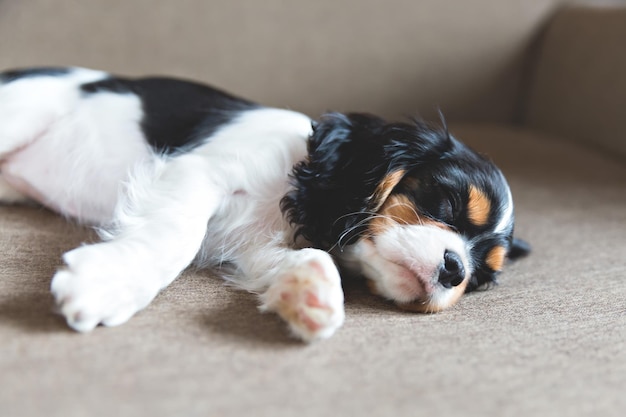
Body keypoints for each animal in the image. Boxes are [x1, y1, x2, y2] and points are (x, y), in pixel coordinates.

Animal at [0, 66, 528, 340]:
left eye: (481, 279)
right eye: (446, 202)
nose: (456, 270)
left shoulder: (252, 248)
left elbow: (303, 256)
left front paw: (310, 293)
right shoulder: (199, 171)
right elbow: (177, 235)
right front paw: (107, 283)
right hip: (24, 110)